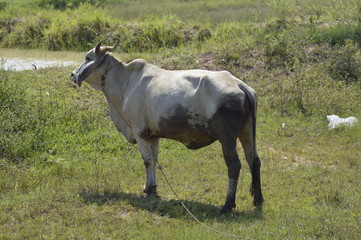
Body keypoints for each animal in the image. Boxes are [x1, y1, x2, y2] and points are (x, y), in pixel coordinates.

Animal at [70, 41, 262, 214]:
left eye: (88, 57)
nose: (72, 75)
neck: (127, 83)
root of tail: (239, 85)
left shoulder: (139, 133)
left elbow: (147, 161)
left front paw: (149, 190)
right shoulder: (152, 136)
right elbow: (154, 161)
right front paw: (151, 187)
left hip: (227, 137)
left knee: (234, 165)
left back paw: (227, 205)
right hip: (246, 132)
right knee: (253, 160)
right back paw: (258, 199)